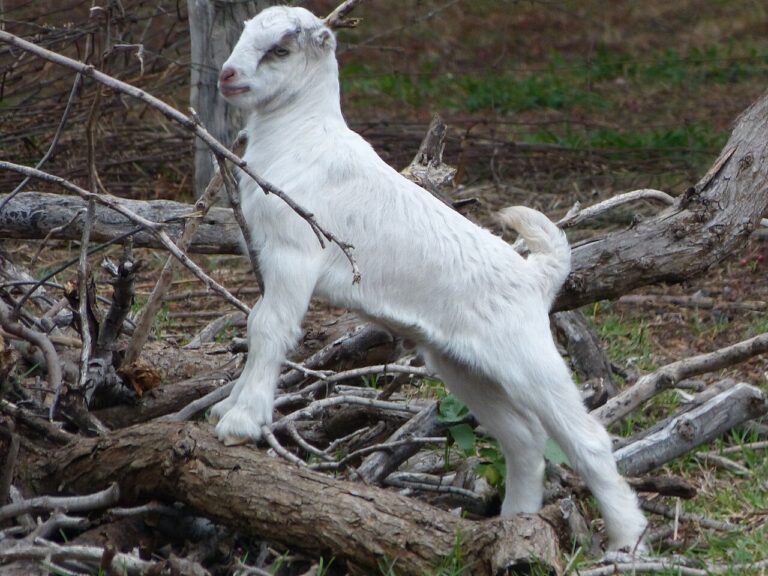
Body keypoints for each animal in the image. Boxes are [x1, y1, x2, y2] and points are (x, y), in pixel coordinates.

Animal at [213, 6, 648, 551]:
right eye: (246, 34)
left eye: (281, 49)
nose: (227, 75)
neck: (304, 136)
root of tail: (538, 275)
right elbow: (255, 322)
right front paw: (226, 408)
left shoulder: (295, 252)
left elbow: (269, 326)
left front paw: (239, 423)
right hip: (464, 365)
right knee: (524, 438)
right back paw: (513, 523)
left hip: (526, 356)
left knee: (585, 437)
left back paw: (627, 540)